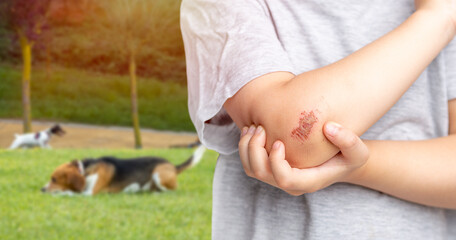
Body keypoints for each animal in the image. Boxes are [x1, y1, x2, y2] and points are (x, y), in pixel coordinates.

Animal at [41, 144, 206, 195]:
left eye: (54, 179)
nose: (42, 189)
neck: (85, 170)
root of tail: (172, 165)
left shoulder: (89, 193)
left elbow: (68, 193)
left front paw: (57, 193)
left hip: (158, 173)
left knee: (172, 190)